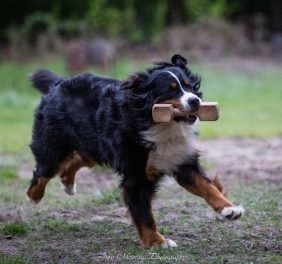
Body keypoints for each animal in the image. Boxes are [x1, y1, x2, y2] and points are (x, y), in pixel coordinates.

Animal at [26, 54, 243, 249]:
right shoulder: (137, 175)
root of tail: (59, 83)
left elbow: (208, 186)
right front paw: (157, 242)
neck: (160, 126)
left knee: (77, 159)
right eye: (170, 90)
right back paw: (35, 196)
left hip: (93, 146)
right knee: (42, 173)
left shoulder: (181, 161)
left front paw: (229, 208)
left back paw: (68, 183)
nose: (195, 101)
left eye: (189, 86)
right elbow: (144, 214)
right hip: (53, 148)